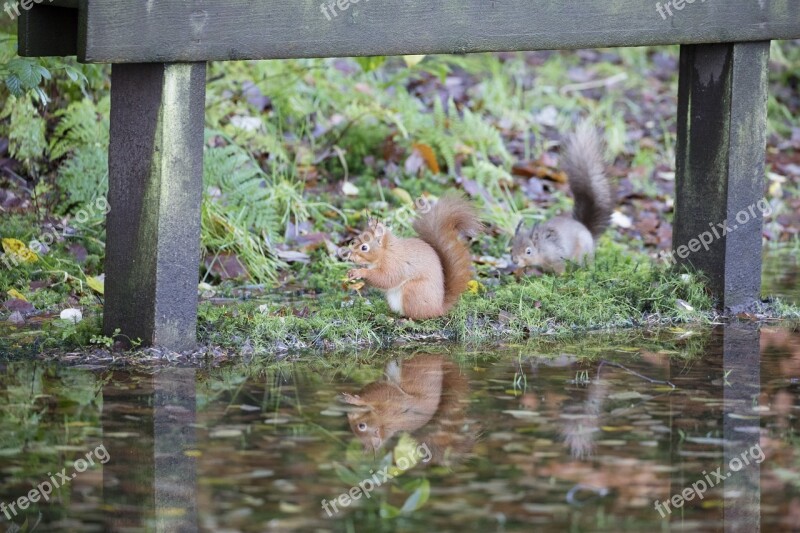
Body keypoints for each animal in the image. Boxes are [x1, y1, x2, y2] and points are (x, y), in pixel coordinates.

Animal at [346, 195, 482, 320]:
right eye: (355, 240)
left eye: (364, 247)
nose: (351, 257)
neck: (385, 252)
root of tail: (438, 308)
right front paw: (352, 272)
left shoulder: (394, 263)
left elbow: (386, 278)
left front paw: (361, 272)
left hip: (413, 292)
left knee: (417, 315)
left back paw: (406, 320)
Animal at [512, 122, 612, 272]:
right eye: (511, 248)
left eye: (528, 251)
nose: (515, 261)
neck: (541, 249)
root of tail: (588, 232)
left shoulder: (557, 258)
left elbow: (560, 269)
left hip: (582, 254)